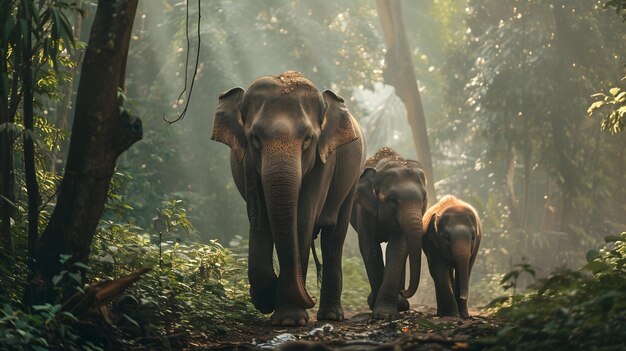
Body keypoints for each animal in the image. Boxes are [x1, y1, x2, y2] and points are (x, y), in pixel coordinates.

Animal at [211, 71, 364, 328]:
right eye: (255, 137)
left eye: (308, 139)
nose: (310, 297)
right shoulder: (247, 162)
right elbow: (259, 217)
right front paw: (265, 299)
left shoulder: (324, 162)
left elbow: (302, 218)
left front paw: (289, 319)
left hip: (351, 182)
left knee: (334, 236)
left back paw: (331, 316)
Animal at [348, 147, 426, 320]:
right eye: (392, 200)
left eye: (424, 198)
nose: (404, 291)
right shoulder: (363, 210)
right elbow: (370, 248)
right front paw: (380, 312)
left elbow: (397, 248)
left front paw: (388, 312)